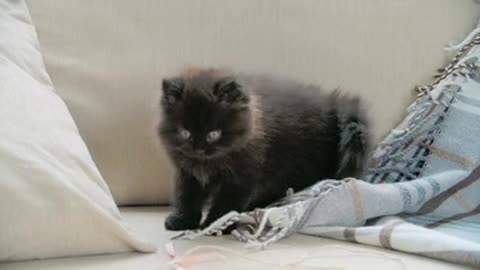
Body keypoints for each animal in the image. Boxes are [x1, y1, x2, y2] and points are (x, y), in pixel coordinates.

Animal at [158, 68, 372, 231]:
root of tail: (333, 106)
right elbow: (185, 196)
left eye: (214, 134)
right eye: (185, 132)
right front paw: (182, 220)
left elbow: (226, 202)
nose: (199, 149)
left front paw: (215, 224)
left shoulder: (242, 175)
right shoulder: (187, 173)